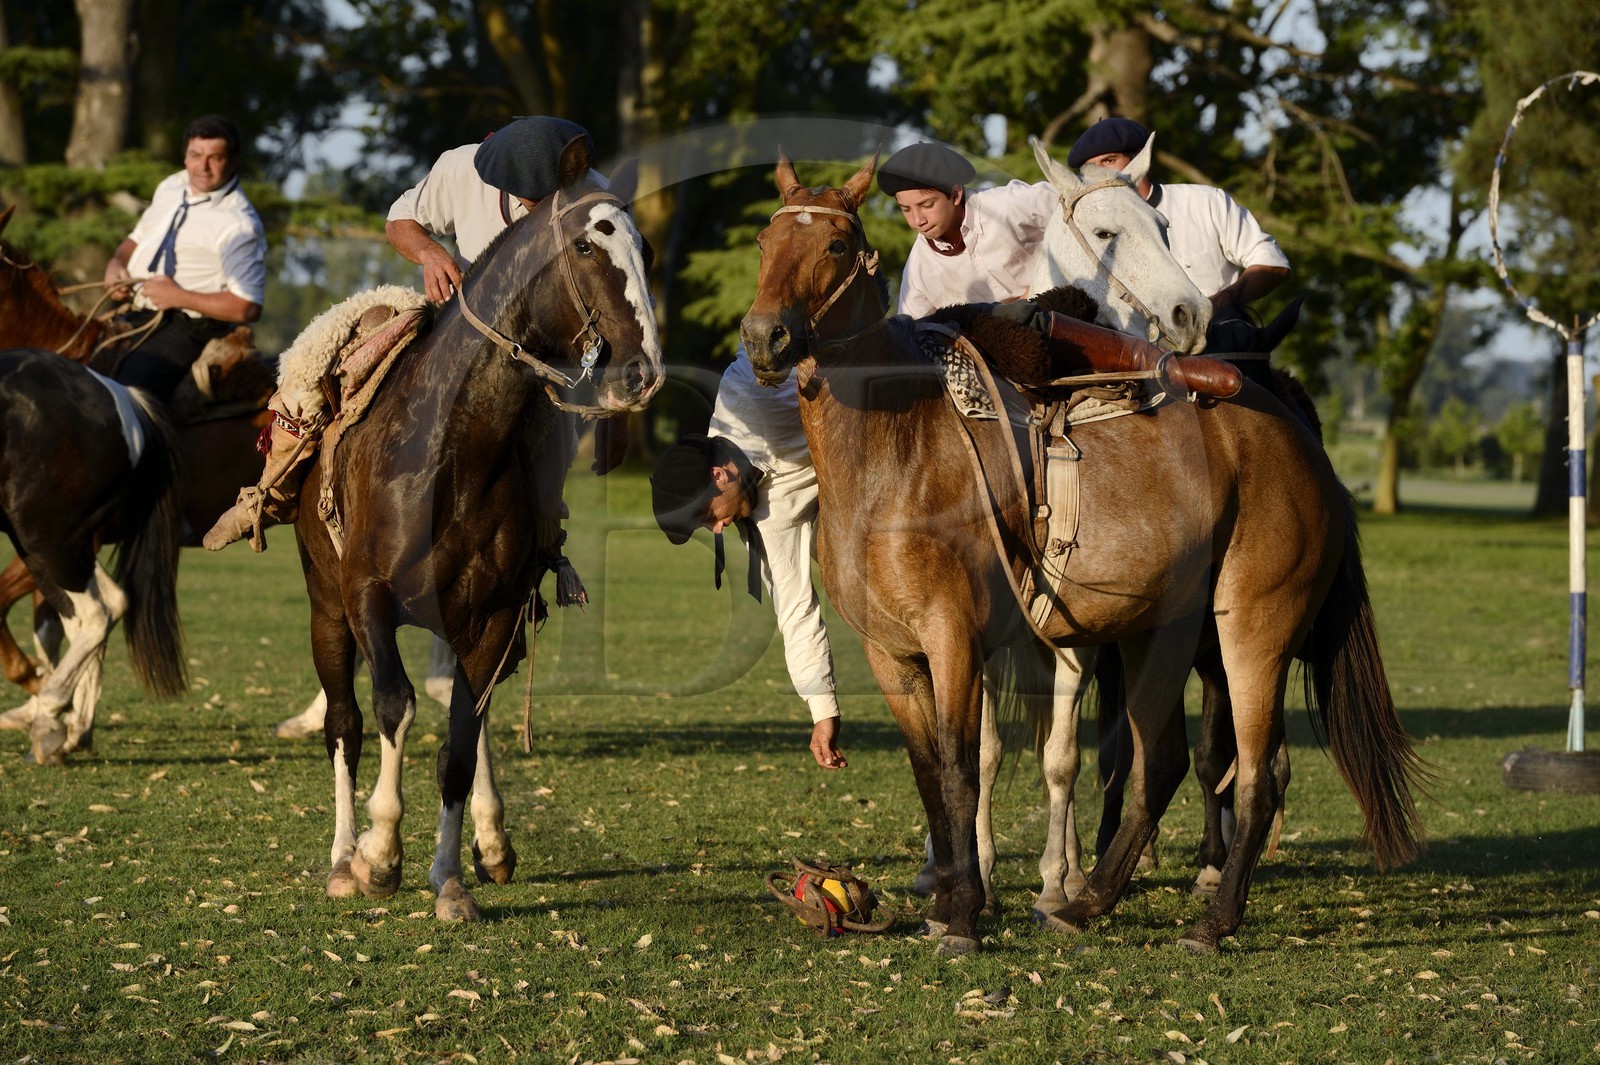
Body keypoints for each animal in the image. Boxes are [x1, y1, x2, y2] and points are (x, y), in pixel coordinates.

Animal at [0, 349, 187, 764]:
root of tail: (123, 398)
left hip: (48, 542)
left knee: (99, 613)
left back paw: (50, 716)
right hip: (58, 547)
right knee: (98, 611)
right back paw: (72, 729)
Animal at [297, 135, 662, 921]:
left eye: (644, 247)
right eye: (588, 244)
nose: (642, 372)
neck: (453, 449)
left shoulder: (493, 612)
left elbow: (461, 741)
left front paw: (450, 877)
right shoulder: (366, 596)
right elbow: (392, 707)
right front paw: (378, 854)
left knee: (479, 713)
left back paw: (490, 843)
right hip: (325, 605)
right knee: (343, 720)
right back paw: (342, 856)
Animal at [739, 152, 1423, 954]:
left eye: (837, 244)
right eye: (765, 241)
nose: (765, 337)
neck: (896, 449)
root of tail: (1303, 445)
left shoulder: (957, 640)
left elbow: (966, 769)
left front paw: (965, 916)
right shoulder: (894, 654)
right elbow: (932, 773)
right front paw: (961, 896)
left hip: (1252, 630)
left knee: (1257, 772)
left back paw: (1209, 918)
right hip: (1156, 632)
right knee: (1164, 762)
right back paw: (1090, 900)